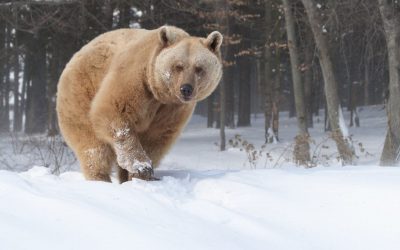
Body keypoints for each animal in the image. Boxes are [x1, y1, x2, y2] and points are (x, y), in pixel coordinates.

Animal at [55, 25, 223, 182]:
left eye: (199, 68)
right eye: (178, 66)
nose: (186, 89)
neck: (159, 93)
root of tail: (75, 55)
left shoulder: (171, 109)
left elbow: (156, 138)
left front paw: (139, 174)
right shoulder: (135, 79)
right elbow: (115, 113)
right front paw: (141, 166)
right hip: (81, 91)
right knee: (93, 148)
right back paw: (100, 178)